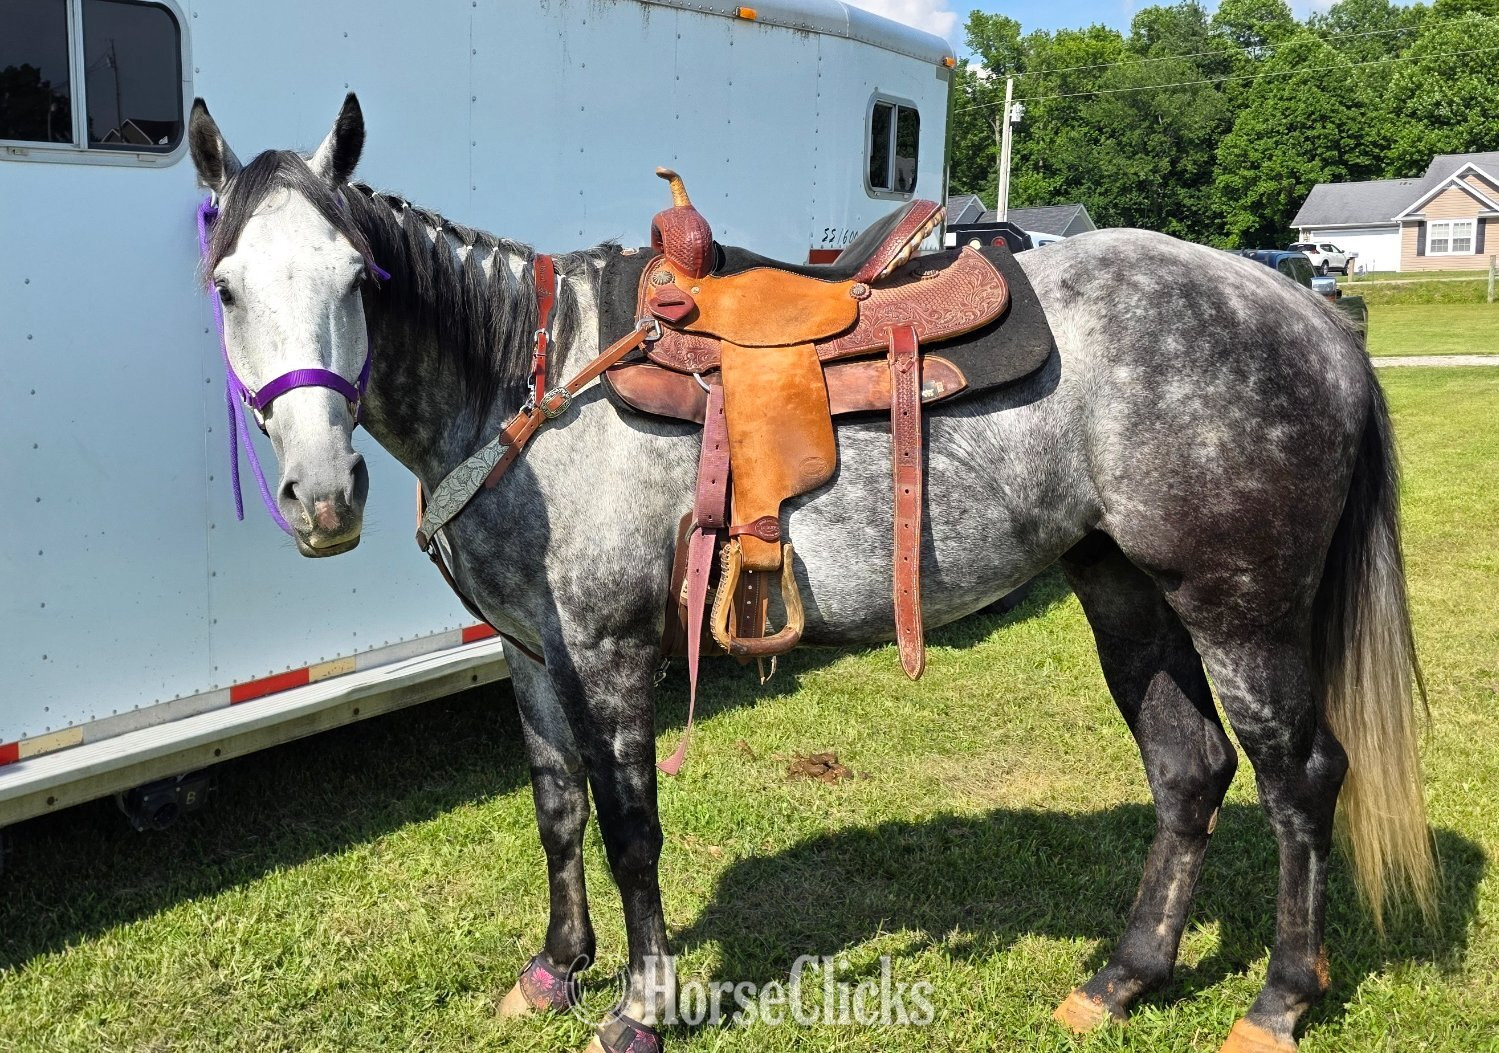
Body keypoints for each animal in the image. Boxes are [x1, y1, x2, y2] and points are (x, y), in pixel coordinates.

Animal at [185, 94, 1435, 1053]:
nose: (321, 495)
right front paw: (552, 971)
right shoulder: (530, 652)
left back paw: (1274, 1004)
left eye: (359, 276)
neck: (527, 386)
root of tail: (1309, 314)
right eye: (228, 286)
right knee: (1188, 771)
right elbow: (554, 811)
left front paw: (639, 1008)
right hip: (1123, 588)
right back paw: (1119, 979)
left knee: (1298, 781)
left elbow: (628, 822)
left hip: (1239, 608)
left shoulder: (609, 648)